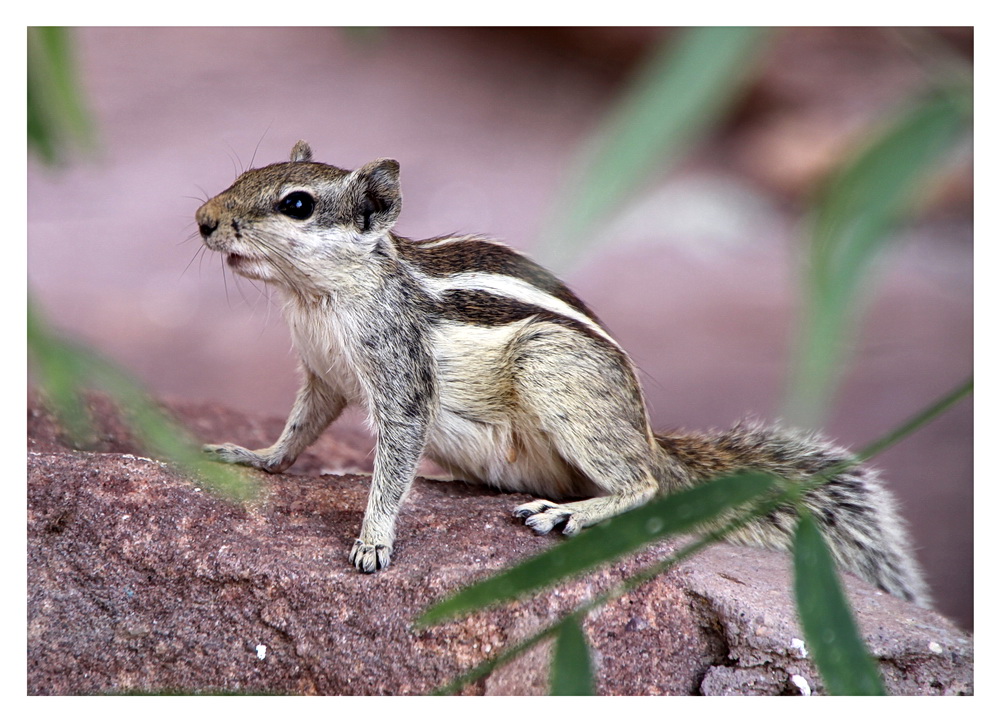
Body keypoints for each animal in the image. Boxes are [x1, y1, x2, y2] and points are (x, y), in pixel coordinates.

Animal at [195, 140, 928, 604]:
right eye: (246, 173)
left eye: (296, 204)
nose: (203, 219)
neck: (316, 298)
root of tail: (650, 435)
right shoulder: (323, 376)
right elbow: (299, 429)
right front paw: (254, 456)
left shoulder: (401, 376)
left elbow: (396, 453)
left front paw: (373, 540)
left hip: (552, 369)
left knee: (645, 483)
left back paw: (570, 514)